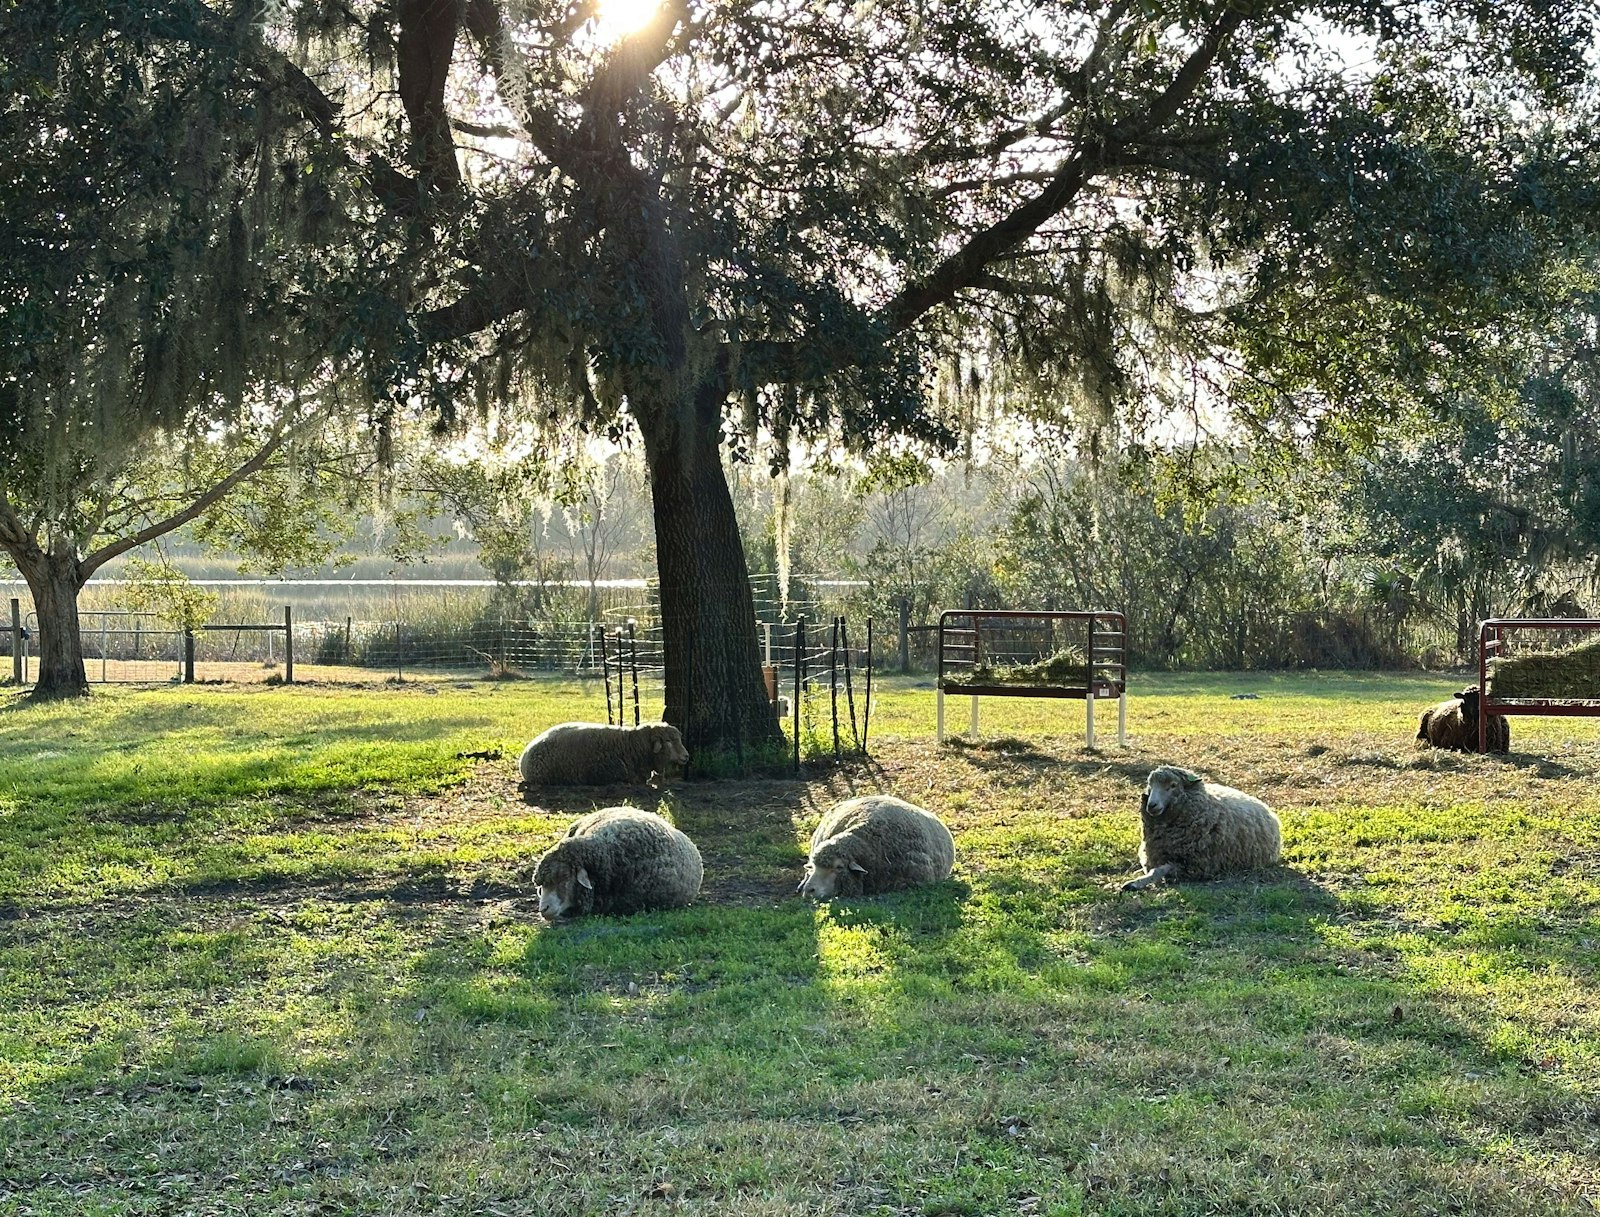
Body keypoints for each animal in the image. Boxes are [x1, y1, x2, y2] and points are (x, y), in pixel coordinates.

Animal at [1122, 765, 1281, 891]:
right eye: (1150, 785)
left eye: (1173, 785)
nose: (1151, 805)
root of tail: (1269, 810)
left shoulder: (1192, 865)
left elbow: (1158, 871)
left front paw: (1134, 884)